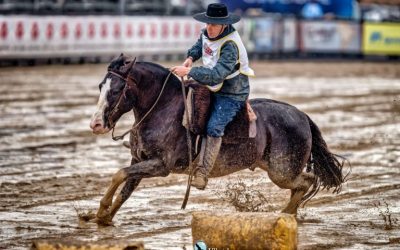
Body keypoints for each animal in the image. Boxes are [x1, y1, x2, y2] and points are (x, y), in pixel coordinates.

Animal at [89, 54, 346, 225]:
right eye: (101, 86)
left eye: (116, 90)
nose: (96, 124)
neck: (163, 108)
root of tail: (302, 116)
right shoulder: (139, 161)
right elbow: (125, 188)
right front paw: (103, 216)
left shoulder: (160, 166)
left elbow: (119, 174)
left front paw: (101, 210)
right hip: (281, 170)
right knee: (302, 185)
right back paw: (288, 215)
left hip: (282, 171)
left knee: (307, 180)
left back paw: (284, 215)